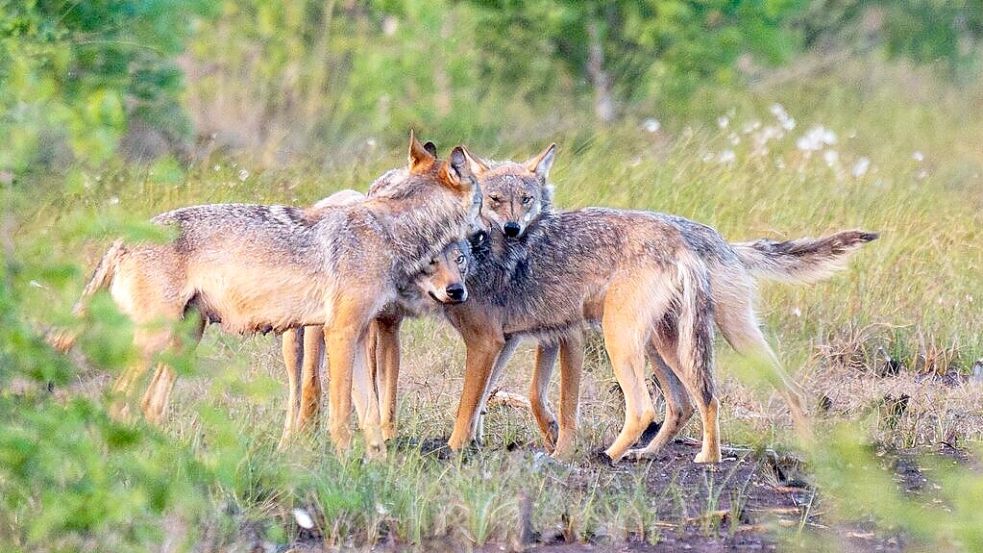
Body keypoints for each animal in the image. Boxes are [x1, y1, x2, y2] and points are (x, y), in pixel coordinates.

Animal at [50, 134, 480, 458]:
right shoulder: (340, 332)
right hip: (157, 339)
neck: (390, 233)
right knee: (118, 398)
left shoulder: (358, 335)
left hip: (186, 338)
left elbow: (369, 415)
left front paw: (376, 468)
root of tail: (122, 238)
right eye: (480, 199)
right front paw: (346, 466)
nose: (487, 233)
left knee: (149, 404)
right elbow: (341, 415)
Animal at [446, 143, 876, 462]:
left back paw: (630, 455)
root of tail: (712, 241)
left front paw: (557, 450)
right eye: (495, 200)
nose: (512, 229)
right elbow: (505, 396)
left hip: (642, 340)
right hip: (665, 344)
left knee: (659, 406)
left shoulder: (567, 337)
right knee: (696, 401)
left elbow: (556, 404)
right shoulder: (523, 339)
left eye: (525, 199)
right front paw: (496, 438)